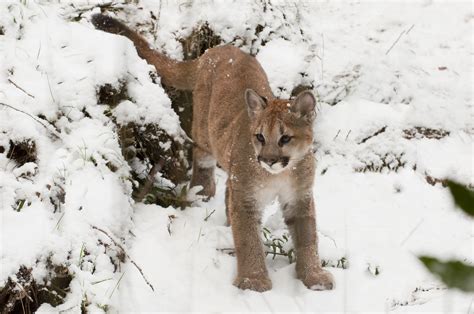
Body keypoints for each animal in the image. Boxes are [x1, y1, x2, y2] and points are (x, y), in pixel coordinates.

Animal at [91, 12, 334, 292]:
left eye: (285, 138)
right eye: (260, 137)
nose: (268, 160)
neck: (278, 175)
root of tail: (215, 49)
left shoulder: (299, 197)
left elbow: (307, 238)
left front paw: (314, 277)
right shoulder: (246, 199)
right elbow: (248, 238)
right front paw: (253, 281)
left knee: (227, 185)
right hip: (204, 131)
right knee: (202, 157)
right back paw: (201, 191)